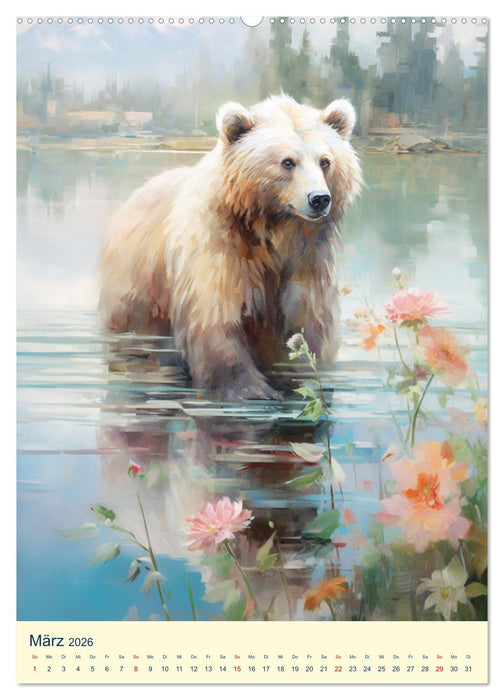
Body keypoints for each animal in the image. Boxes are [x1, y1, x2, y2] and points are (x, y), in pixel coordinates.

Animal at [98, 94, 362, 399]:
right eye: (287, 162)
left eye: (325, 161)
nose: (319, 198)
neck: (273, 230)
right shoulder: (220, 248)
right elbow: (217, 315)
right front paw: (246, 388)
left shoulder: (308, 257)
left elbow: (308, 318)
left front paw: (304, 377)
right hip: (140, 283)